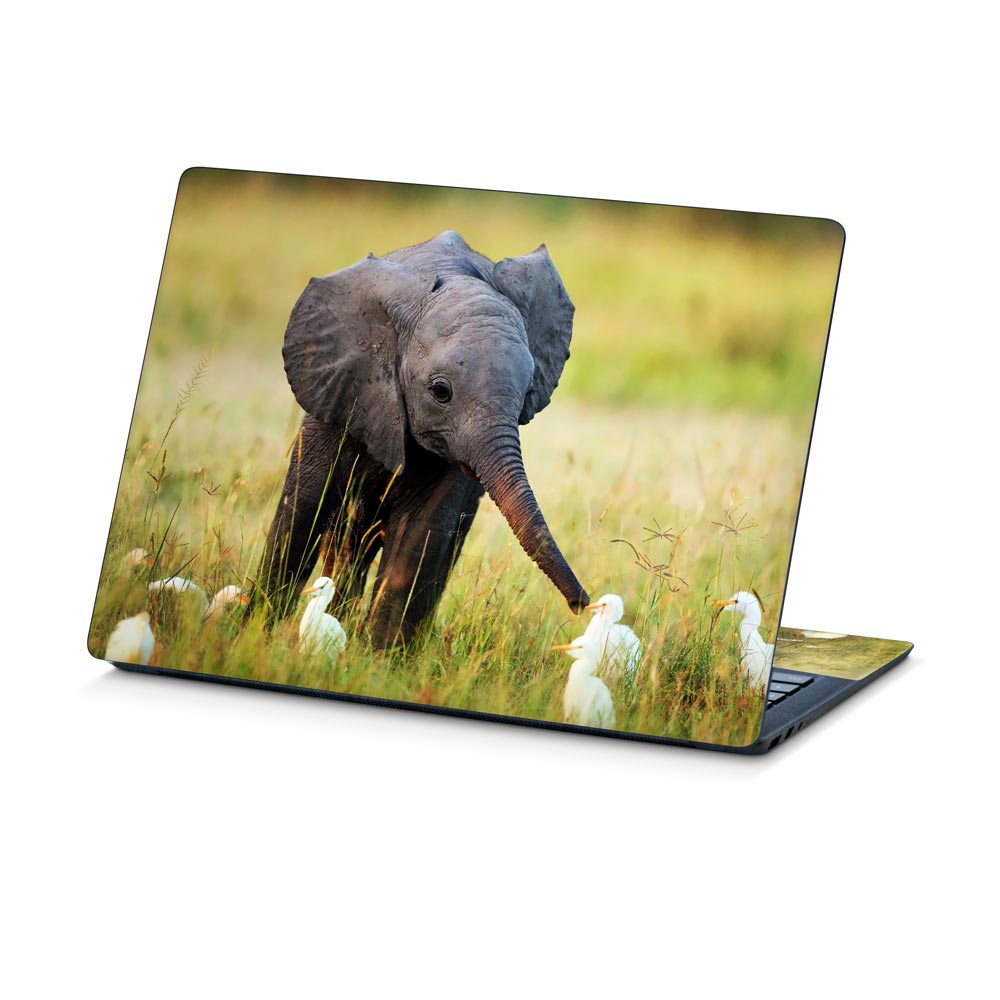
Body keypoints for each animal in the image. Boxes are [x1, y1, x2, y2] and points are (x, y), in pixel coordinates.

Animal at [252, 229, 590, 647]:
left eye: (528, 393)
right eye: (441, 391)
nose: (582, 604)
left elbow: (419, 537)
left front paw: (378, 657)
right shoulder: (339, 390)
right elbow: (302, 512)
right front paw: (251, 634)